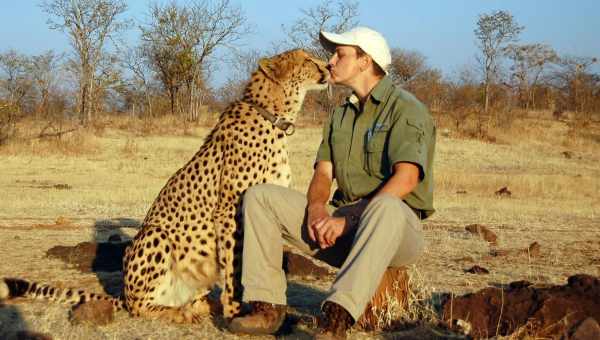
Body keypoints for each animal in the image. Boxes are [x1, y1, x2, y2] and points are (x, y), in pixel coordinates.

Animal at [0, 47, 330, 322]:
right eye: (307, 60)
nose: (327, 66)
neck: (274, 115)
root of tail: (124, 294)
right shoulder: (229, 212)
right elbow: (235, 266)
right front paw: (236, 312)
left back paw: (199, 306)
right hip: (155, 235)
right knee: (139, 307)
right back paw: (178, 313)